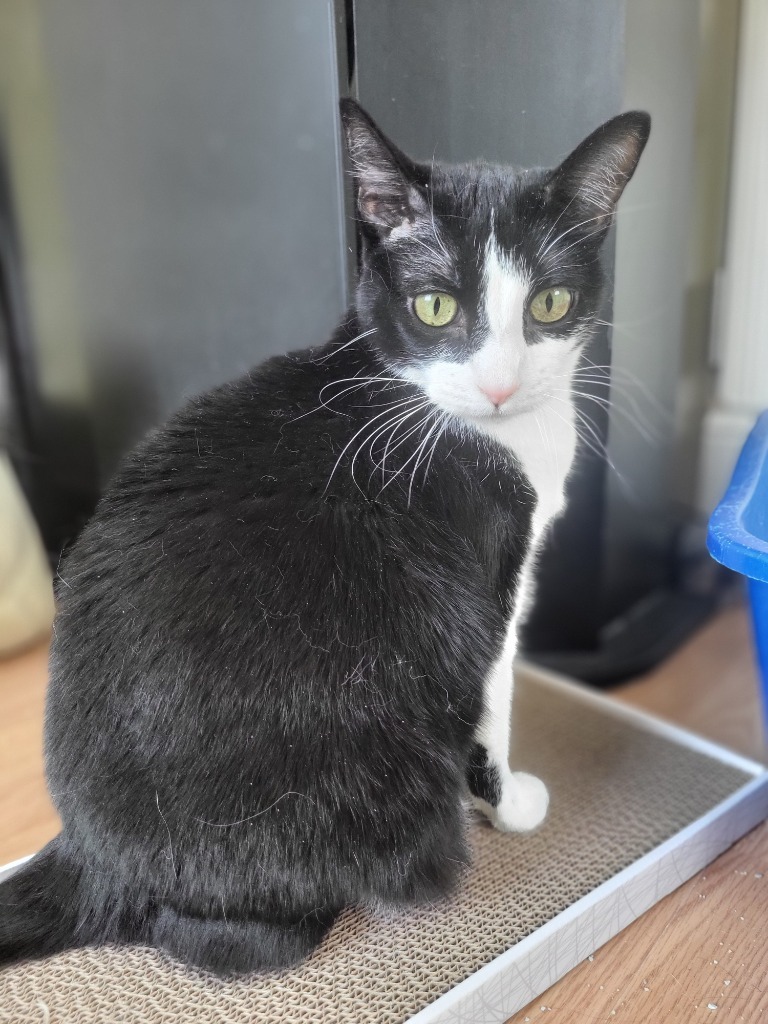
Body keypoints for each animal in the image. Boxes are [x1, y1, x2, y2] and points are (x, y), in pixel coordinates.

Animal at [0, 96, 651, 974]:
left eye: (548, 305)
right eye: (436, 306)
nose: (499, 385)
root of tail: (86, 854)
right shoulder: (489, 587)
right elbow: (496, 705)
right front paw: (512, 804)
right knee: (218, 939)